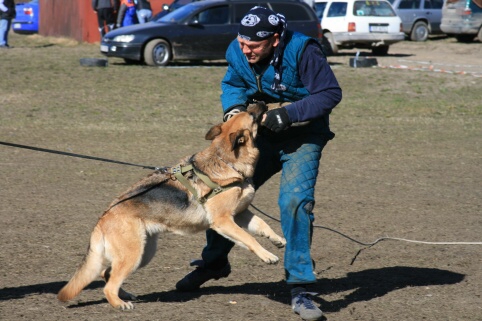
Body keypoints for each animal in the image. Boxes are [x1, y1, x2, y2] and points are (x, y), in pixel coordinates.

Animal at [57, 102, 286, 308]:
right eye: (251, 114)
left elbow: (263, 225)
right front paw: (268, 256)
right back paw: (120, 304)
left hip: (144, 253)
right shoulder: (223, 222)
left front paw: (278, 240)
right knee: (108, 285)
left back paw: (126, 295)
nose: (262, 103)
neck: (225, 161)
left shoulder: (240, 214)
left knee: (107, 273)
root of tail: (103, 218)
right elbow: (249, 239)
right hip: (133, 255)